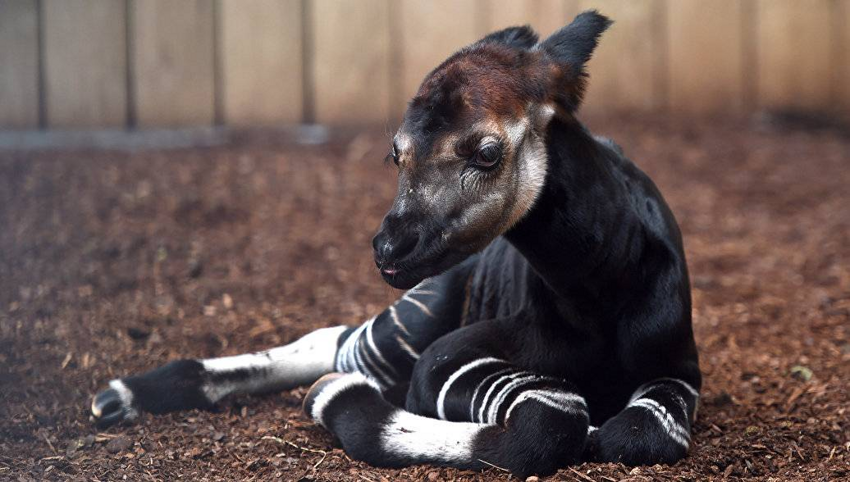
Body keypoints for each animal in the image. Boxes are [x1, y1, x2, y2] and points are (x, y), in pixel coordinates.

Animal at [94, 11, 704, 478]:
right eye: (395, 153)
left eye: (486, 153)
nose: (387, 251)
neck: (600, 281)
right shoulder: (441, 365)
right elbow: (555, 422)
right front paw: (336, 396)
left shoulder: (678, 372)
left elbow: (636, 433)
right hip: (415, 319)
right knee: (338, 341)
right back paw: (120, 396)